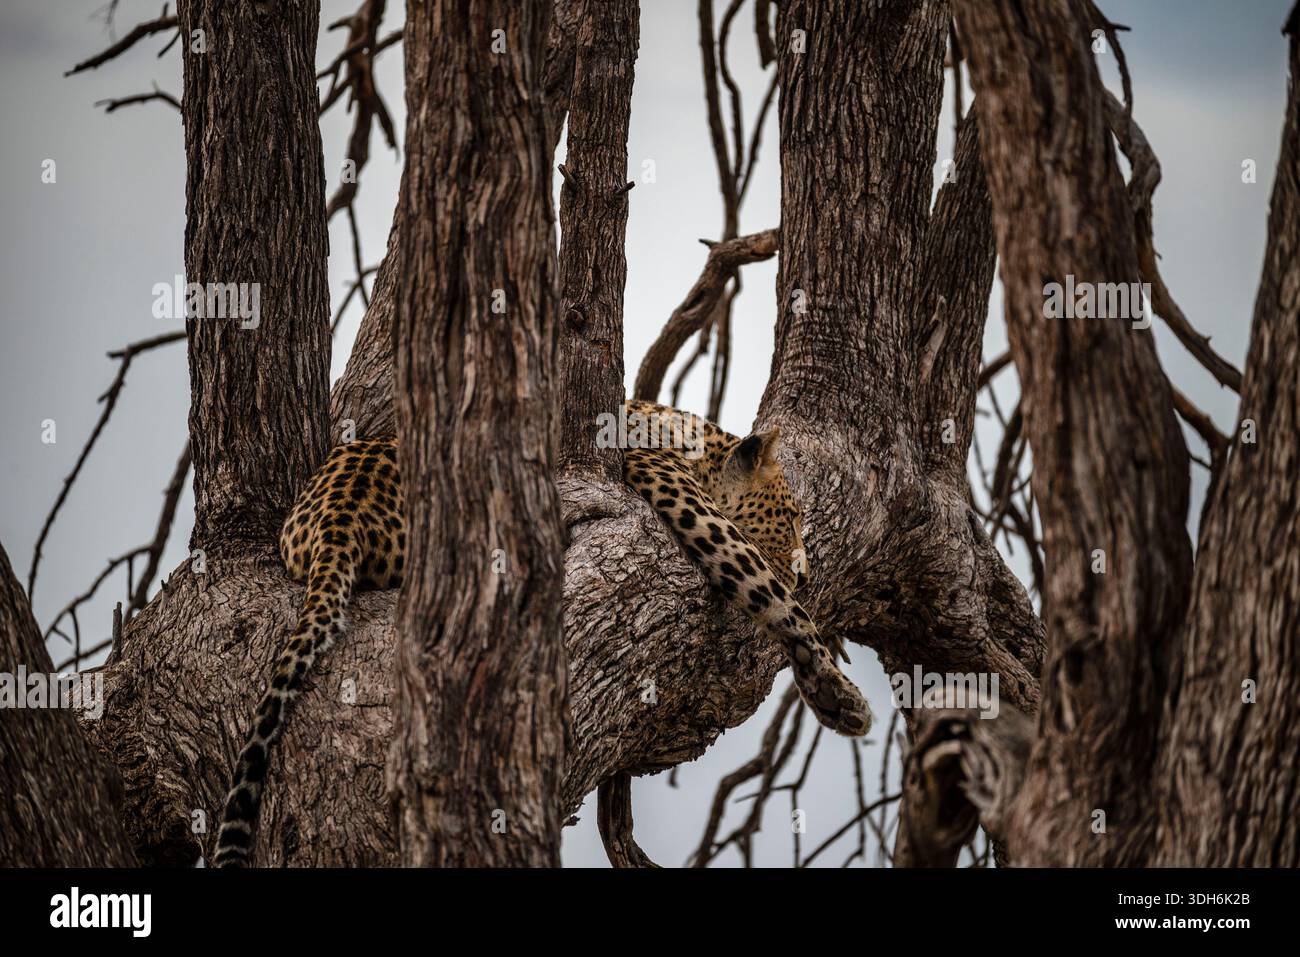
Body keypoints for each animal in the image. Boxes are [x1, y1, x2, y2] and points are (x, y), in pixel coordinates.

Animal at [211, 400, 870, 867]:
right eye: (789, 516)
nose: (808, 569)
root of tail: (338, 523)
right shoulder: (683, 498)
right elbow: (768, 590)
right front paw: (838, 694)